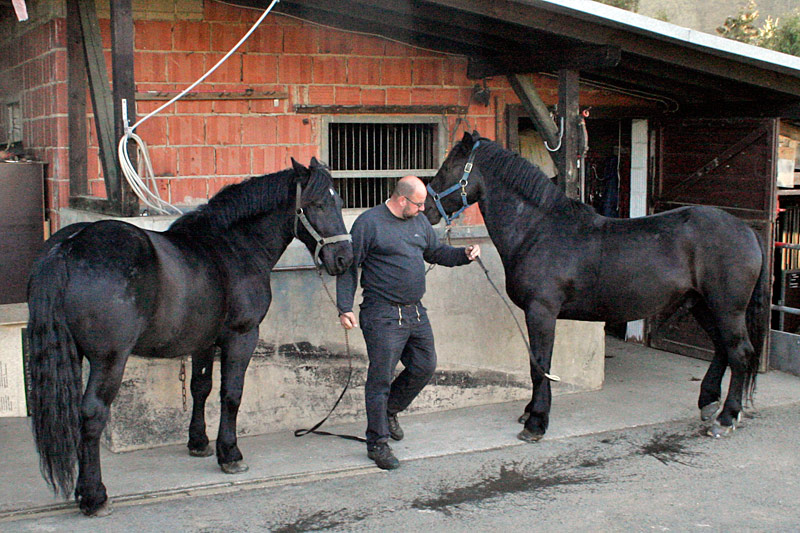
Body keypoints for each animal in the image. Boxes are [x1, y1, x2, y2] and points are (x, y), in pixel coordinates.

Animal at [26, 158, 352, 516]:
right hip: (109, 360)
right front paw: (230, 454)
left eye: (339, 201)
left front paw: (199, 443)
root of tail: (68, 247)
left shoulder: (203, 342)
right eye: (318, 204)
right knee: (93, 414)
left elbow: (201, 388)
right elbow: (231, 394)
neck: (234, 248)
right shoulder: (242, 336)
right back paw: (94, 496)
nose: (343, 259)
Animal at [428, 133, 764, 444]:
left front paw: (536, 422)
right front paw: (529, 412)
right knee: (722, 348)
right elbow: (536, 363)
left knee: (739, 353)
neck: (538, 231)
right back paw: (708, 404)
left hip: (727, 308)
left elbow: (540, 365)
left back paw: (726, 418)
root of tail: (746, 230)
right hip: (701, 304)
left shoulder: (541, 312)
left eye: (448, 167)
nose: (428, 209)